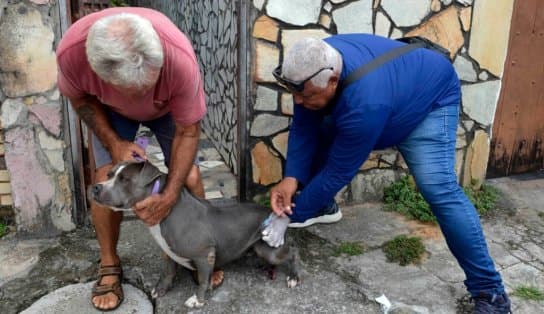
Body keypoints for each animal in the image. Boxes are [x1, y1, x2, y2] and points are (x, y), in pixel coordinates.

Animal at [90, 161, 302, 308]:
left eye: (124, 179)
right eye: (109, 174)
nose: (95, 187)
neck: (165, 211)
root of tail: (273, 213)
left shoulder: (204, 254)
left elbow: (203, 281)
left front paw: (198, 300)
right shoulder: (168, 251)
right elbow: (168, 271)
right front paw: (161, 289)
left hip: (271, 249)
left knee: (292, 252)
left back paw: (293, 277)